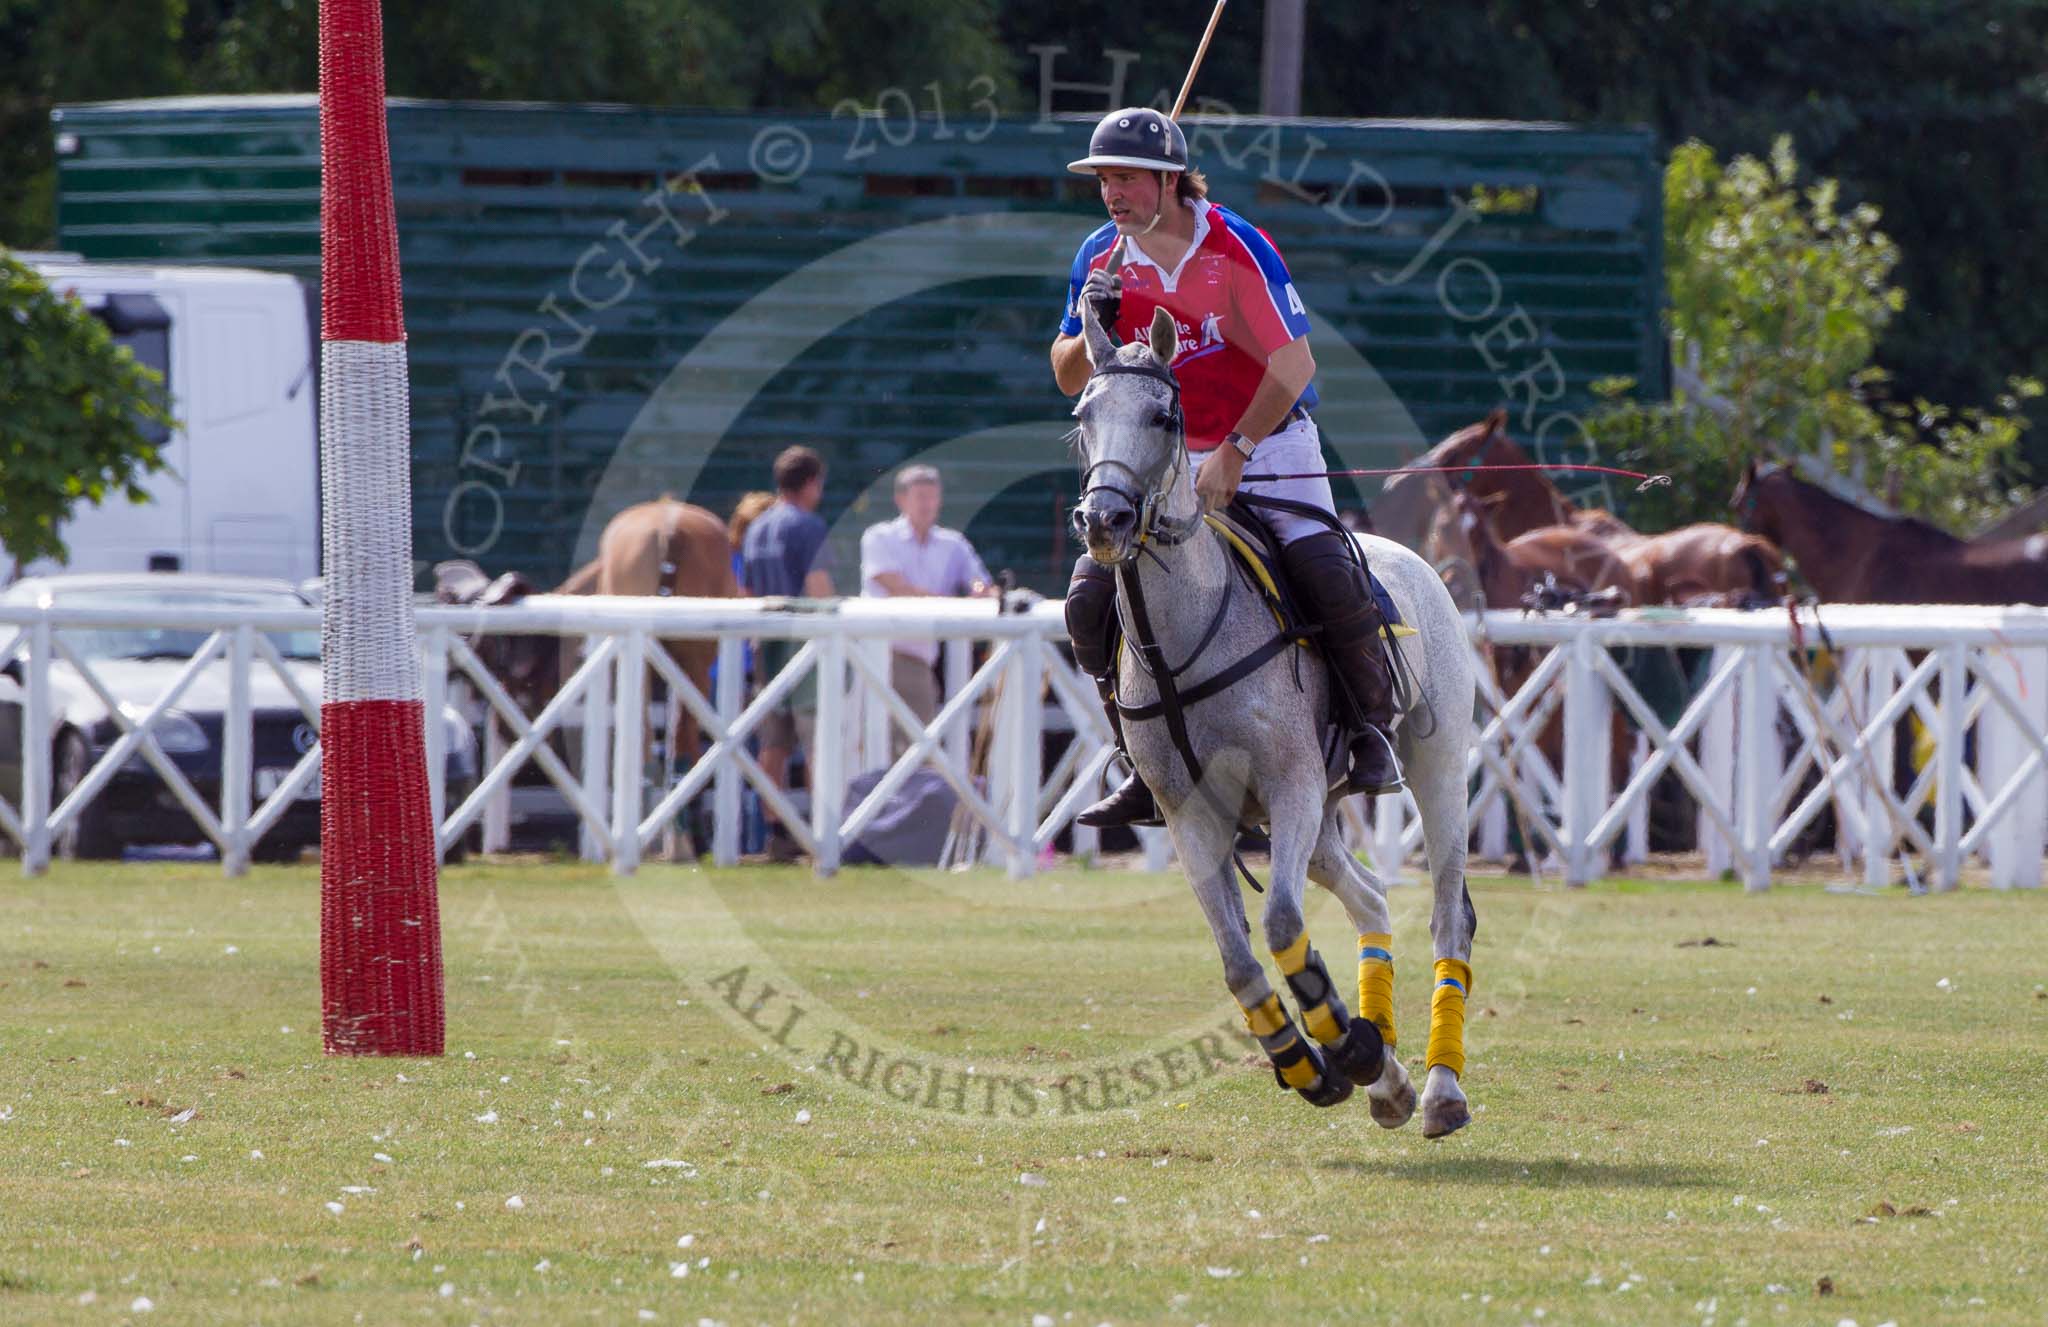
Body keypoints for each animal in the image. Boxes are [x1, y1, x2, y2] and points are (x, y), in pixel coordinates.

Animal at [1064, 303, 1482, 1138]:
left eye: (1163, 416)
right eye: (1083, 415)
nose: (1104, 519)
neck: (1180, 645)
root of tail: (1416, 559)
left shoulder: (1290, 784)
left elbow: (1285, 925)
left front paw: (1347, 1050)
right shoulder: (1194, 815)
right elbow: (1237, 958)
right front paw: (1321, 1062)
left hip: (1436, 768)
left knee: (1447, 915)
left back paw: (1439, 1090)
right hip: (1322, 812)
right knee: (1371, 895)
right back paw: (1389, 1071)